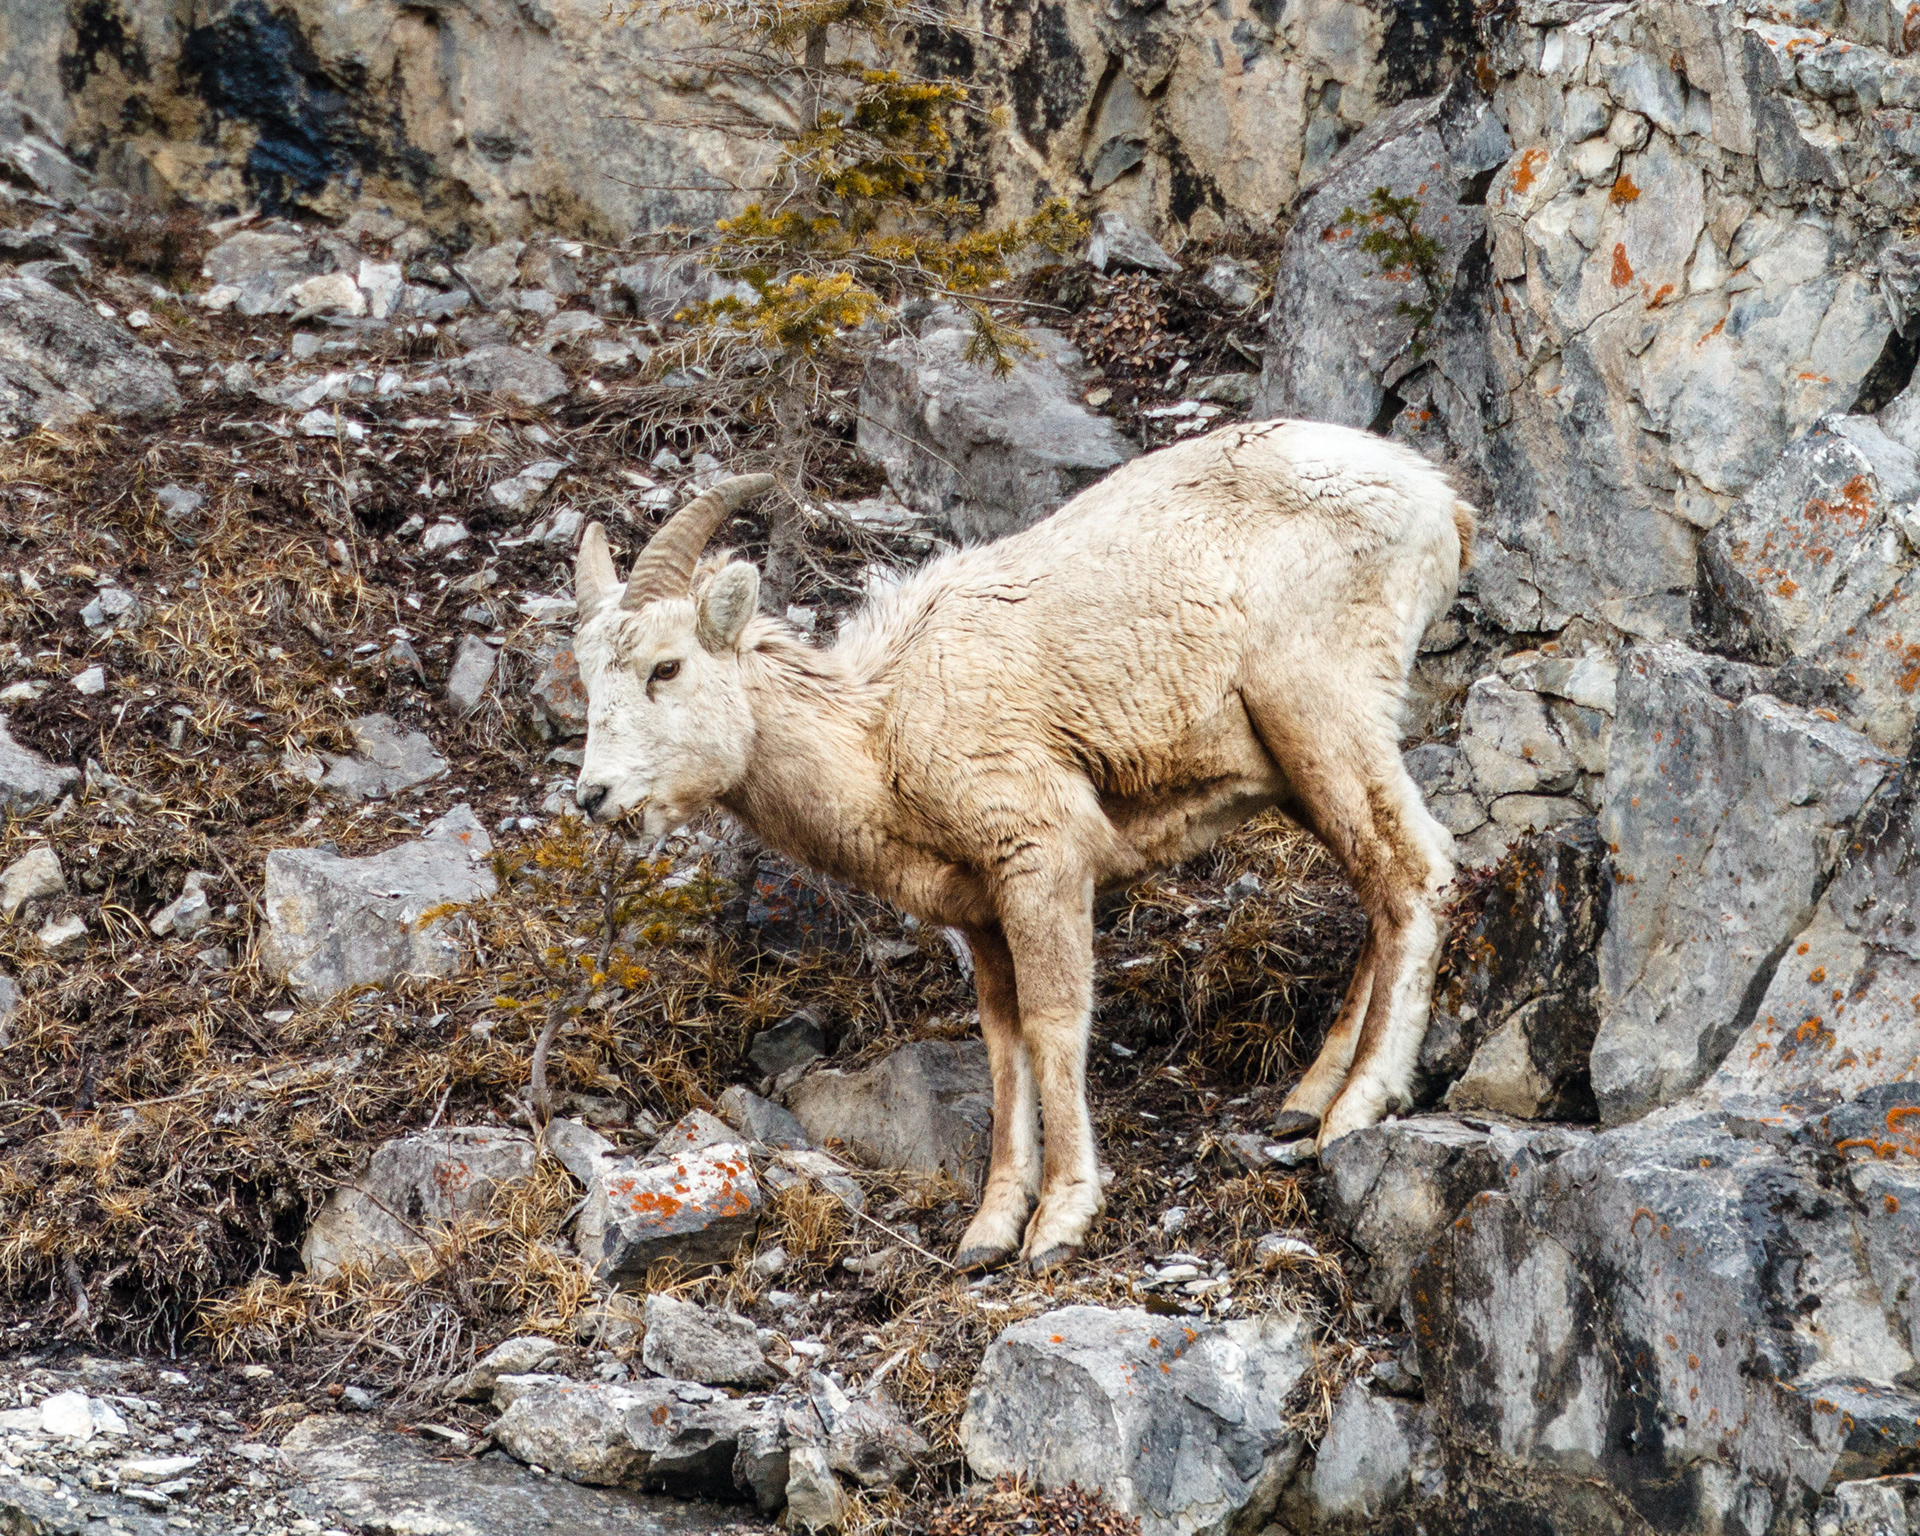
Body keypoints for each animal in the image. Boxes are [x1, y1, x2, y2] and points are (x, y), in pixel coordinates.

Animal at [570, 417, 1474, 1273]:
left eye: (665, 667)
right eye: (586, 677)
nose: (594, 797)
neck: (879, 732)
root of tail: (1437, 499)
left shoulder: (1043, 859)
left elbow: (1052, 1023)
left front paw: (1061, 1222)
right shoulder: (980, 915)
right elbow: (1004, 1052)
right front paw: (989, 1232)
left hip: (1322, 710)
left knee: (1416, 870)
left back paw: (1355, 1110)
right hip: (1300, 766)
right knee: (1380, 886)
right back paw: (1307, 1100)